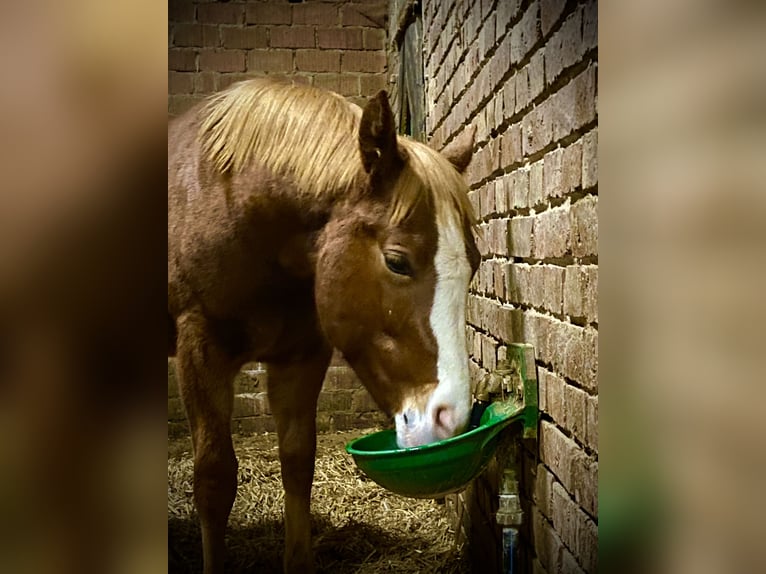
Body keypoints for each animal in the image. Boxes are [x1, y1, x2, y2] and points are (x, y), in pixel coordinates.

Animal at [168, 77, 480, 574]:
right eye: (397, 261)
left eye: (475, 263)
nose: (451, 418)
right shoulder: (200, 350)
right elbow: (214, 480)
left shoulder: (301, 356)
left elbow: (298, 460)